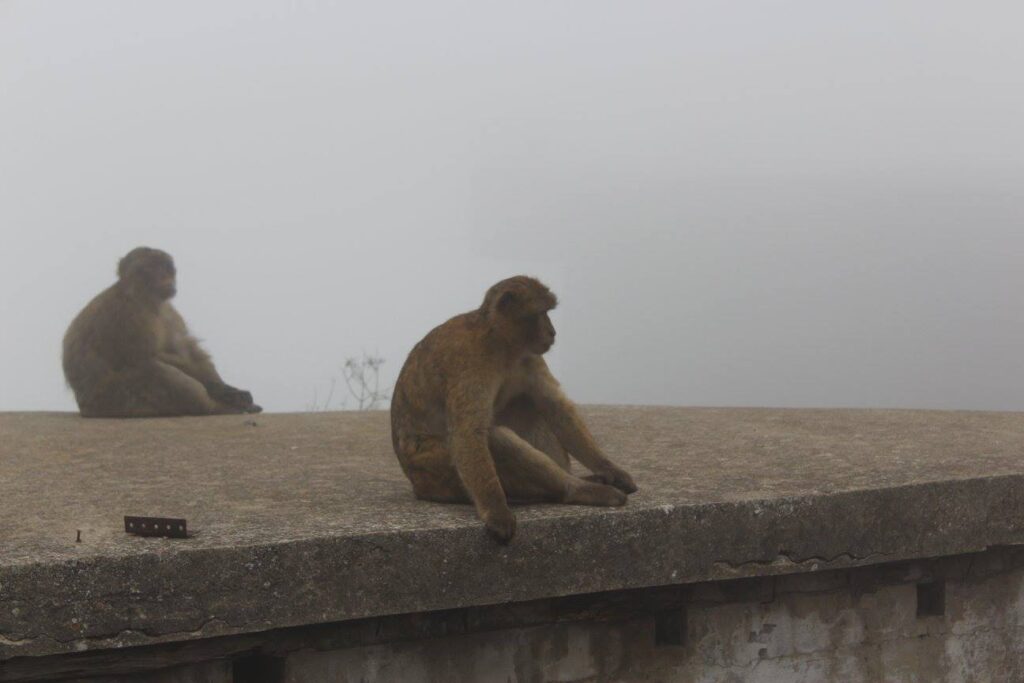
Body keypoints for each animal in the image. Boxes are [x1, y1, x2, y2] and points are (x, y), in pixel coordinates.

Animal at [62, 245, 262, 417]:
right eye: (149, 269)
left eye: (166, 268)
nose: (165, 279)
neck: (148, 300)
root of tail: (86, 409)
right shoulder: (127, 314)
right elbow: (146, 356)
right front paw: (220, 392)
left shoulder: (169, 312)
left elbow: (188, 350)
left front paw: (226, 388)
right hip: (118, 400)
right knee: (152, 368)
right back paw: (214, 408)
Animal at [389, 274, 634, 540]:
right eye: (540, 312)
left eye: (548, 312)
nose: (552, 332)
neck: (500, 343)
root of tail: (419, 487)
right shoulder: (469, 362)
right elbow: (469, 433)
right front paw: (496, 511)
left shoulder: (529, 356)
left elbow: (556, 408)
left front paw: (610, 469)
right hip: (435, 469)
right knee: (495, 438)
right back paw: (576, 489)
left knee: (528, 406)